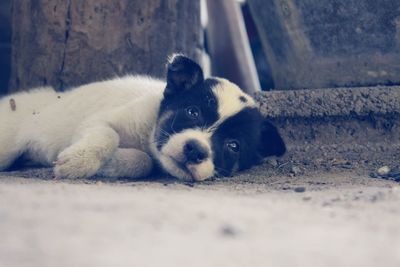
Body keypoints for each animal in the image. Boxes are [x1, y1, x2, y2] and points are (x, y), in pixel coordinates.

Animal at [0, 54, 284, 182]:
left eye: (233, 146)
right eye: (192, 112)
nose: (195, 150)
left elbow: (144, 162)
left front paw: (114, 164)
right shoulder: (97, 121)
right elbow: (108, 136)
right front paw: (79, 162)